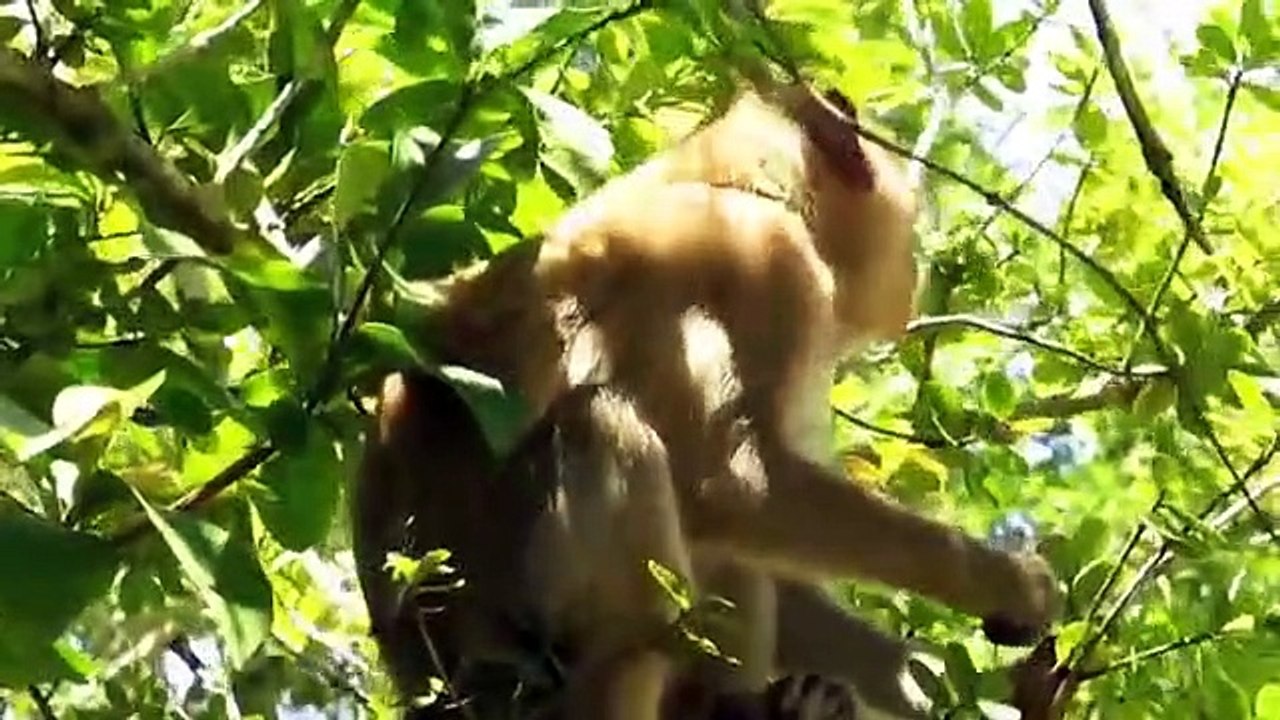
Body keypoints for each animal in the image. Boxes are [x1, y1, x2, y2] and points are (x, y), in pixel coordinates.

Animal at [353, 76, 1060, 720]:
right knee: (604, 425)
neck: (738, 183)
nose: (912, 276)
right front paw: (1008, 584)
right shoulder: (764, 259)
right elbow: (732, 484)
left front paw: (918, 681)